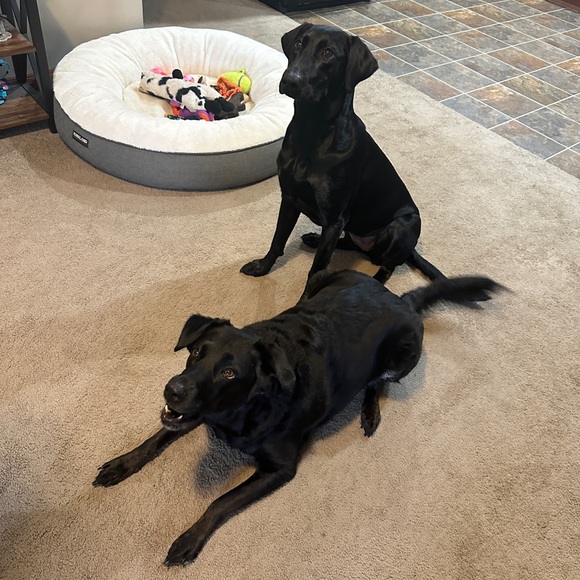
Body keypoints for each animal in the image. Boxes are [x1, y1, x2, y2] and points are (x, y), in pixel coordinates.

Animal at [93, 269, 501, 566]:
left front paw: (188, 539)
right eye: (196, 352)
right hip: (329, 275)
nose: (173, 389)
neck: (246, 408)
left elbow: (220, 501)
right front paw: (122, 464)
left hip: (402, 357)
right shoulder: (189, 415)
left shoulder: (280, 468)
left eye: (229, 373)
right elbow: (156, 438)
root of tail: (402, 299)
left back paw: (369, 413)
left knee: (376, 384)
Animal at [241, 23, 449, 286]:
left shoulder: (334, 219)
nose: (290, 80)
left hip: (405, 224)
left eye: (328, 53)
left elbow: (316, 271)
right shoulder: (289, 197)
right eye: (299, 43)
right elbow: (277, 240)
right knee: (353, 245)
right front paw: (262, 267)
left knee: (387, 266)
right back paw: (313, 239)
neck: (311, 130)